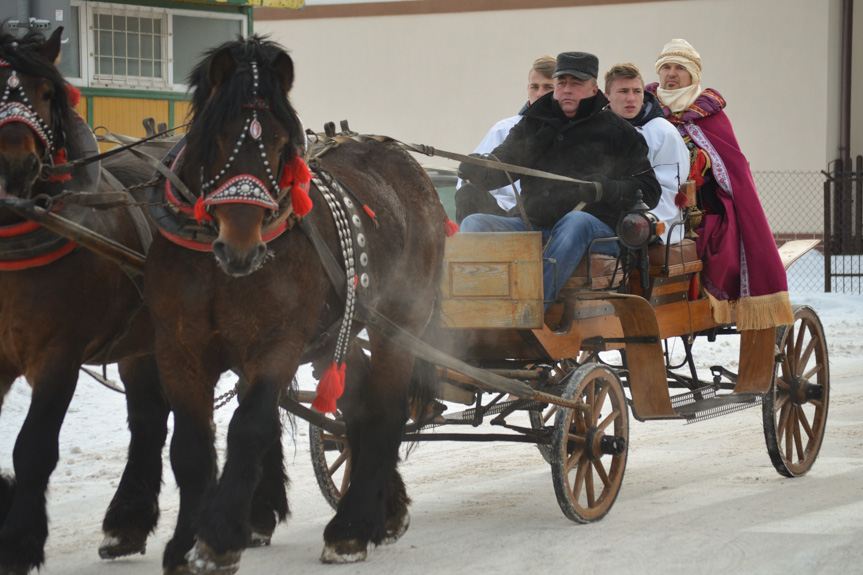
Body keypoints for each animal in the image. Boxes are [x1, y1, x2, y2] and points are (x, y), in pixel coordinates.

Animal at [0, 28, 170, 575]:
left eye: (46, 92)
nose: (15, 164)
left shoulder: (58, 353)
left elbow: (33, 447)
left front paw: (18, 542)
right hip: (144, 339)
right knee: (149, 418)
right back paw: (127, 523)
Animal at [143, 37, 446, 575]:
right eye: (215, 138)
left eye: (283, 144)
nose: (240, 246)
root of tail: (413, 170)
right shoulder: (179, 349)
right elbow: (190, 446)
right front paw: (184, 544)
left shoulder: (276, 344)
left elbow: (249, 428)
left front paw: (218, 538)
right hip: (332, 335)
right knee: (355, 401)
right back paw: (383, 512)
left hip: (400, 321)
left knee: (384, 410)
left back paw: (350, 527)